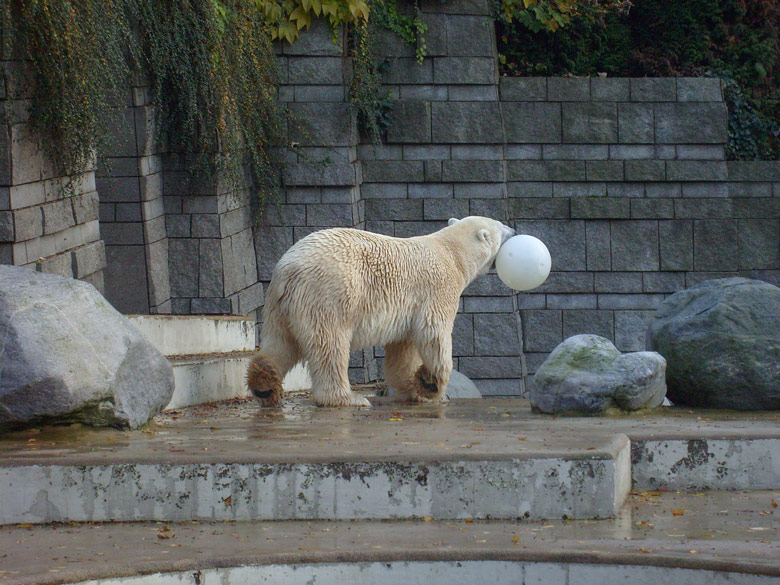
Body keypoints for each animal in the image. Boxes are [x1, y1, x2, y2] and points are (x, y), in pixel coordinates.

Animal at [248, 216, 512, 406]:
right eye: (501, 227)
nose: (513, 229)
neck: (451, 252)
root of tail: (289, 267)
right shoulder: (437, 289)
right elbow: (433, 334)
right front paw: (432, 386)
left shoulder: (407, 311)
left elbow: (403, 350)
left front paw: (413, 390)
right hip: (328, 294)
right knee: (329, 346)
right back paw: (348, 398)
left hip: (280, 303)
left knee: (281, 342)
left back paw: (263, 384)